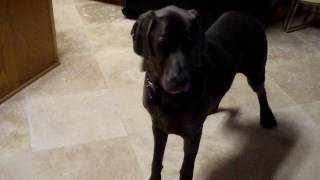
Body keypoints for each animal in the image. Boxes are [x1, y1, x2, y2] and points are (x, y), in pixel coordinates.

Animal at [131, 5, 276, 180]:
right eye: (162, 43)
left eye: (191, 43)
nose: (180, 81)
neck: (167, 97)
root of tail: (248, 15)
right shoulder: (159, 127)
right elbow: (156, 159)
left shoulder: (193, 134)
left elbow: (186, 168)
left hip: (255, 72)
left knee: (262, 91)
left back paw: (267, 116)